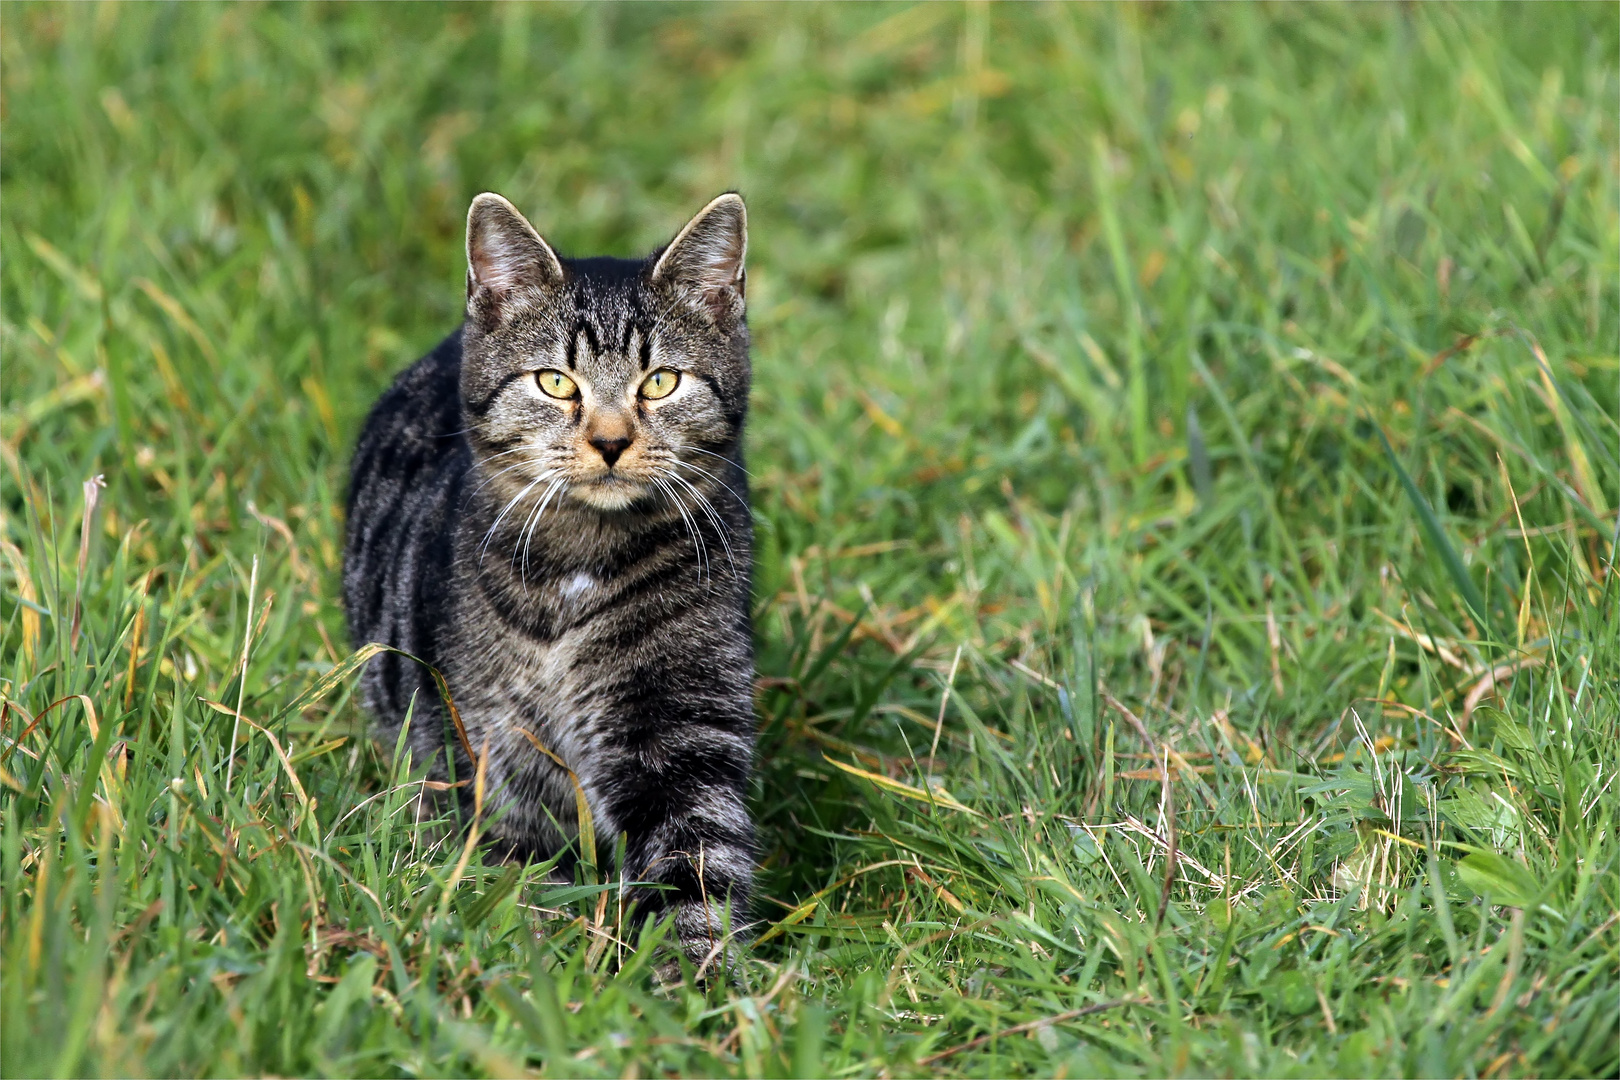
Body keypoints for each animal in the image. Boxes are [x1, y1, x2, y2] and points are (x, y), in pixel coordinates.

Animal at [343, 190, 758, 977]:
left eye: (661, 382)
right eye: (555, 382)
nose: (610, 441)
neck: (582, 562)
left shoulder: (682, 724)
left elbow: (697, 865)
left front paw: (700, 986)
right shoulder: (491, 755)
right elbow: (524, 882)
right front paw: (548, 966)